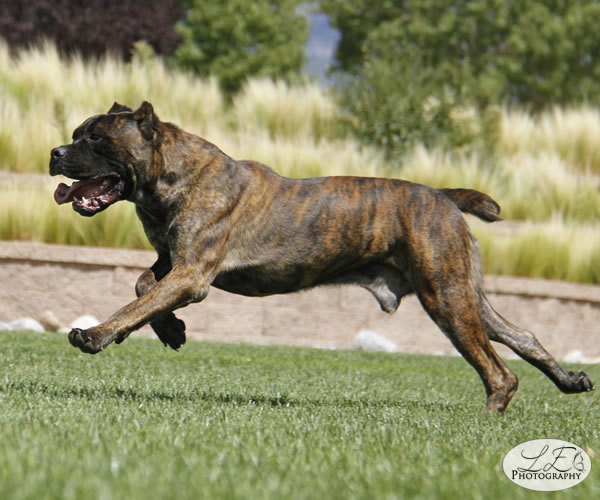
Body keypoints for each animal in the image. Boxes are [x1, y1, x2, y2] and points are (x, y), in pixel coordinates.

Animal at [49, 101, 592, 414]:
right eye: (77, 132)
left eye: (96, 138)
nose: (55, 152)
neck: (172, 175)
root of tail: (441, 195)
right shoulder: (173, 262)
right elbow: (144, 287)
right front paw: (172, 330)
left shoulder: (191, 273)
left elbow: (136, 301)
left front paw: (96, 334)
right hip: (464, 293)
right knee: (522, 336)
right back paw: (570, 380)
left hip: (446, 298)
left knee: (499, 370)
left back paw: (489, 417)